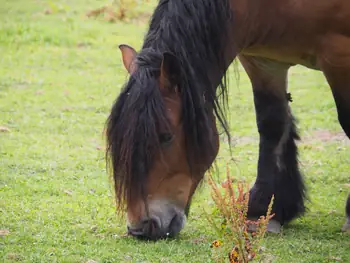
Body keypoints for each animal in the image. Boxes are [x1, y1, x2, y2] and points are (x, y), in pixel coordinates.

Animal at [105, 0, 350, 241]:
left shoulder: (339, 55)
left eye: (166, 136)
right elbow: (272, 124)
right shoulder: (262, 61)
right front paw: (262, 210)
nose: (141, 227)